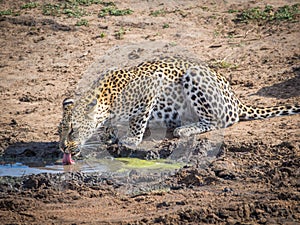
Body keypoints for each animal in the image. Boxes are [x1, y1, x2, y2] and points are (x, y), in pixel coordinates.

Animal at [58, 56, 300, 164]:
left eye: (72, 130)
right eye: (59, 132)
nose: (62, 148)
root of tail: (236, 98)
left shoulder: (150, 89)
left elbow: (137, 120)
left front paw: (131, 139)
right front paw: (110, 136)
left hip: (195, 77)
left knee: (218, 121)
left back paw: (183, 129)